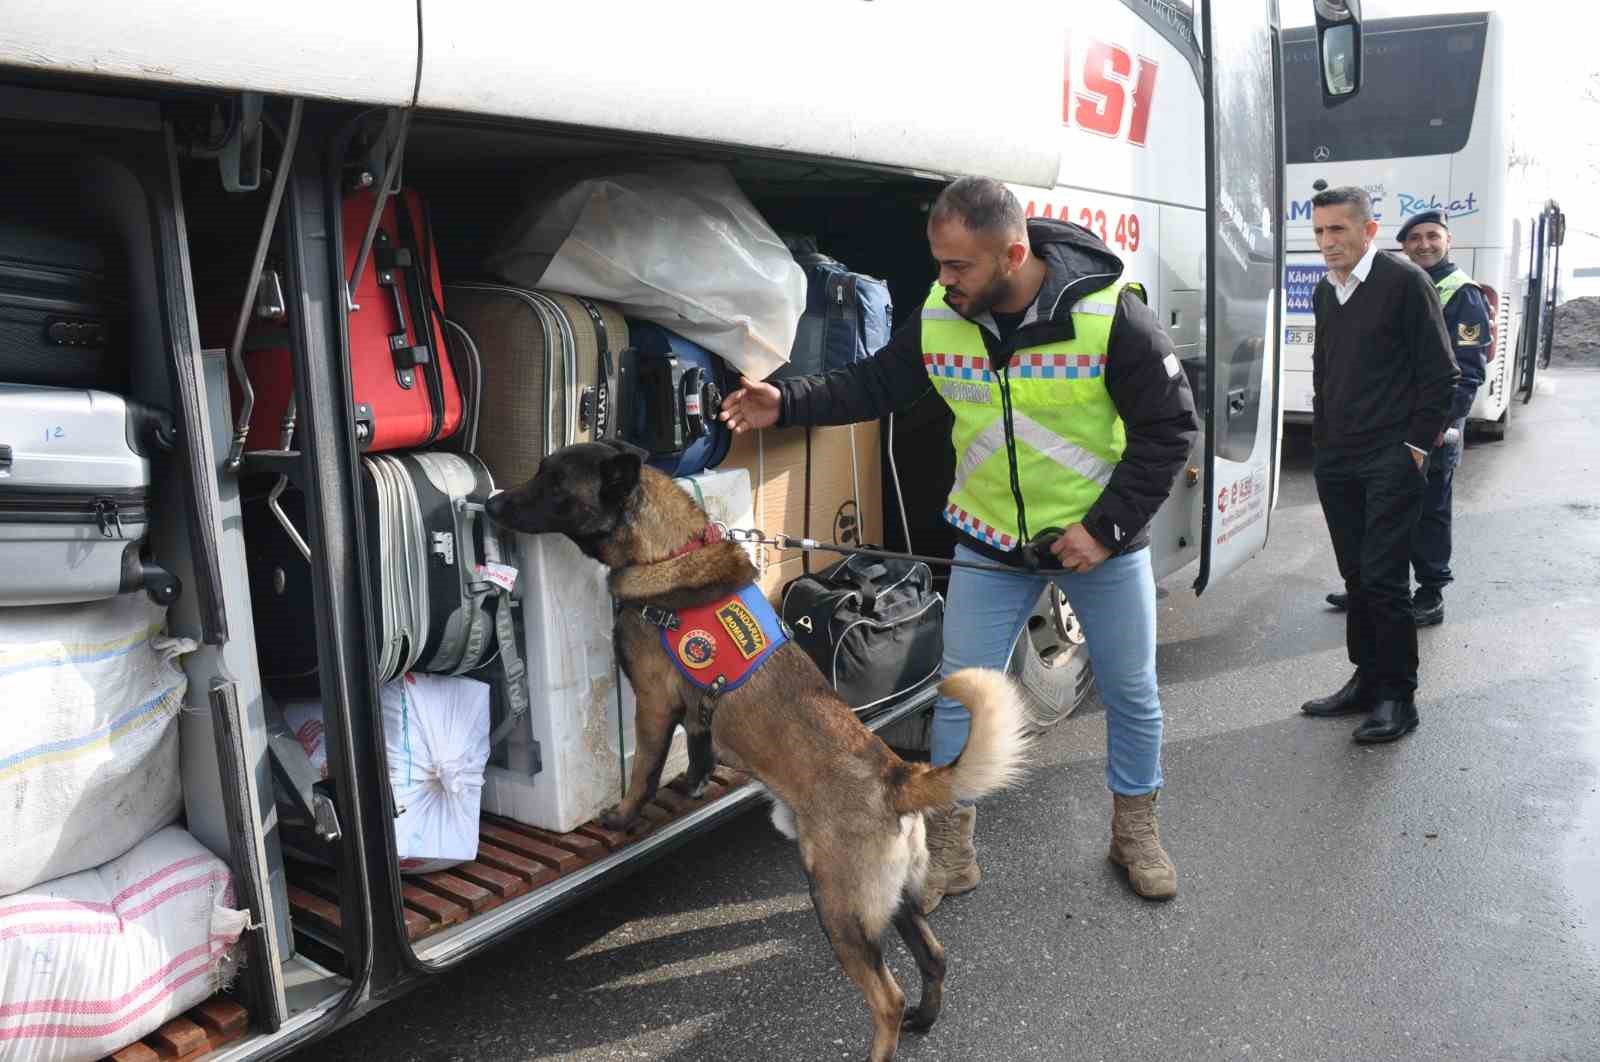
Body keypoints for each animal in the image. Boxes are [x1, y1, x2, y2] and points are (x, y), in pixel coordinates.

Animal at [486, 438, 1030, 1062]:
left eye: (554, 486)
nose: (492, 505)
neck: (666, 549)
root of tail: (896, 775)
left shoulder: (653, 705)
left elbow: (643, 772)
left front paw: (622, 819)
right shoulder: (695, 712)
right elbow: (698, 751)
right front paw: (693, 784)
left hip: (838, 908)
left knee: (885, 998)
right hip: (895, 902)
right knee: (935, 958)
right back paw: (925, 1017)